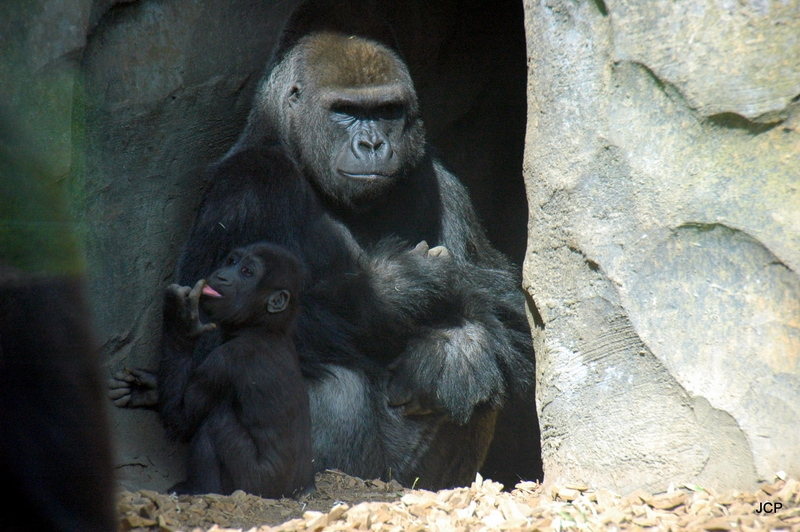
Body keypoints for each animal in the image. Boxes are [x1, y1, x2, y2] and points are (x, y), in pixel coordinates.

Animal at [163, 241, 312, 498]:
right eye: (232, 261)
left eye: (247, 273)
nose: (222, 275)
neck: (261, 327)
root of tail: (291, 494)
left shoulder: (222, 362)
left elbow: (180, 419)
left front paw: (180, 320)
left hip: (258, 485)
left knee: (215, 424)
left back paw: (201, 490)